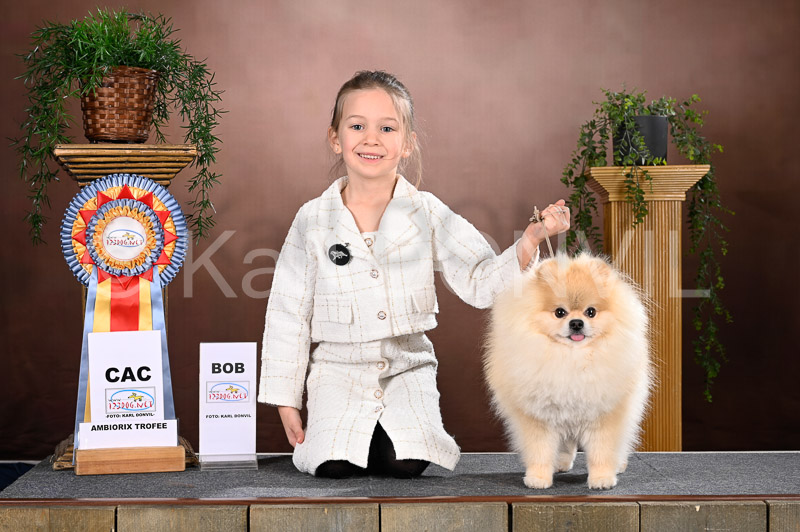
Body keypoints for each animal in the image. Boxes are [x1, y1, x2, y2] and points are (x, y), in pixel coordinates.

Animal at [484, 253, 651, 489]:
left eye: (591, 312)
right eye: (559, 312)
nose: (577, 323)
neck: (571, 359)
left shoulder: (603, 414)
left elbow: (601, 451)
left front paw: (602, 478)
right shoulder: (540, 416)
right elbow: (540, 451)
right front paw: (538, 478)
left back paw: (618, 464)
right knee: (565, 443)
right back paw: (560, 463)